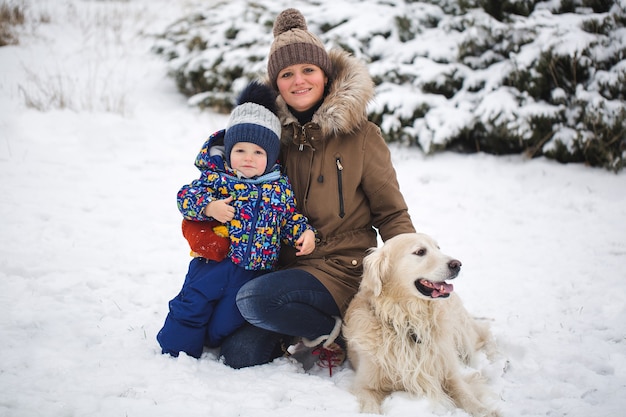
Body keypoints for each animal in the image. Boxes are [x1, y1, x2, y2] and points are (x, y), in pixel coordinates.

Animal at [342, 232, 498, 414]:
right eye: (420, 252)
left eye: (438, 248)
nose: (457, 264)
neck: (409, 320)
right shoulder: (365, 385)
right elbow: (370, 407)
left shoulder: (448, 371)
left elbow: (465, 394)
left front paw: (484, 410)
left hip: (461, 331)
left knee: (484, 335)